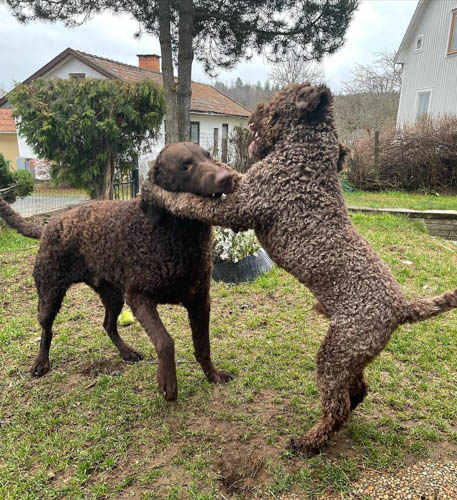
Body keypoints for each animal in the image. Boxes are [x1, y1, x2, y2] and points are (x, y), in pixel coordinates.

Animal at [0, 143, 233, 400]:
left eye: (209, 157)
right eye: (185, 165)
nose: (228, 177)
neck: (176, 235)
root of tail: (48, 226)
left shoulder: (200, 300)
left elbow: (203, 346)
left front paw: (213, 375)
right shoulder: (139, 297)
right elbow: (165, 341)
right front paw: (168, 383)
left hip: (113, 296)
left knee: (108, 325)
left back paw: (127, 352)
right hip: (50, 293)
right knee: (46, 329)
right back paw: (41, 362)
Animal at [144, 83, 456, 458]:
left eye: (276, 102)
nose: (252, 114)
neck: (306, 155)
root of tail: (402, 308)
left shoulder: (242, 205)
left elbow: (192, 202)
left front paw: (158, 191)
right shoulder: (244, 186)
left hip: (336, 355)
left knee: (335, 406)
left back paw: (310, 442)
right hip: (352, 356)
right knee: (356, 392)